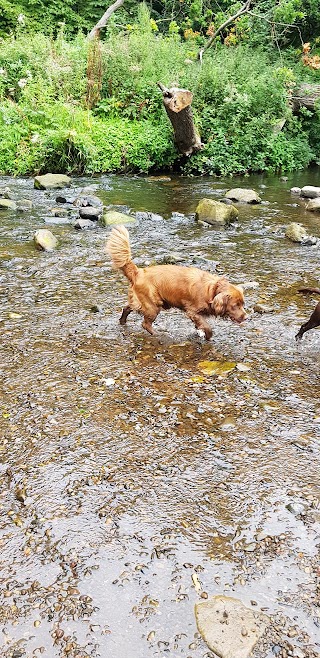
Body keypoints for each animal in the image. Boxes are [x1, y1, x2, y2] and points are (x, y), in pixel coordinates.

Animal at [105, 226, 245, 338]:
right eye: (235, 305)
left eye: (243, 304)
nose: (246, 317)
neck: (212, 289)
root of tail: (138, 272)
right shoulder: (192, 311)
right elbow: (206, 326)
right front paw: (208, 335)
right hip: (152, 305)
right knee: (145, 323)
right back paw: (157, 334)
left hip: (141, 302)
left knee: (127, 307)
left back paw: (122, 322)